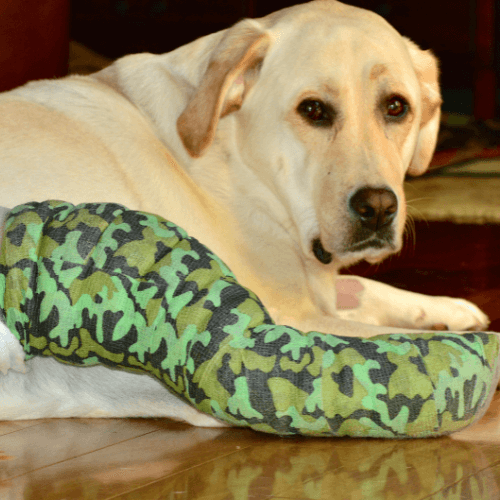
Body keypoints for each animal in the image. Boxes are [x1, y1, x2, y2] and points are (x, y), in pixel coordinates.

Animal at [0, 0, 488, 424]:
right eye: (313, 110)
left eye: (396, 107)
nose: (379, 207)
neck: (239, 168)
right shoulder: (292, 317)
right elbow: (397, 337)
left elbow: (364, 288)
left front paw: (447, 307)